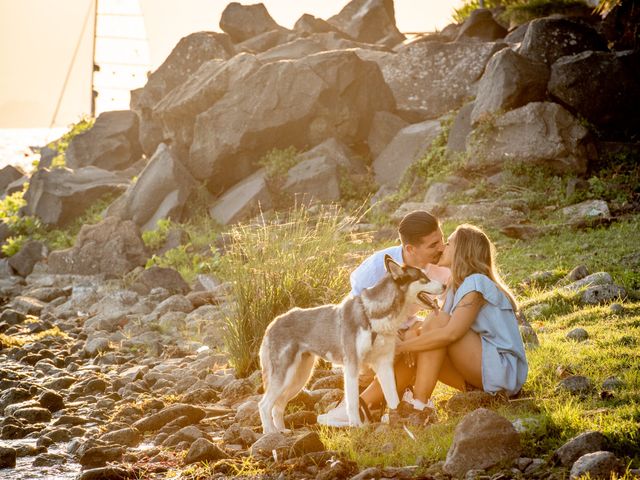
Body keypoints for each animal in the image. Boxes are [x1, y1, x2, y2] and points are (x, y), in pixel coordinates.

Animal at [258, 255, 442, 436]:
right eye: (424, 278)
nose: (445, 285)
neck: (372, 315)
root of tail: (272, 323)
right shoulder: (352, 366)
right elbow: (353, 401)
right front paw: (356, 425)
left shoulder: (384, 365)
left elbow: (393, 398)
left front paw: (398, 421)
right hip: (284, 377)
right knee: (264, 405)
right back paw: (270, 433)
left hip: (298, 378)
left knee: (278, 407)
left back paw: (282, 431)